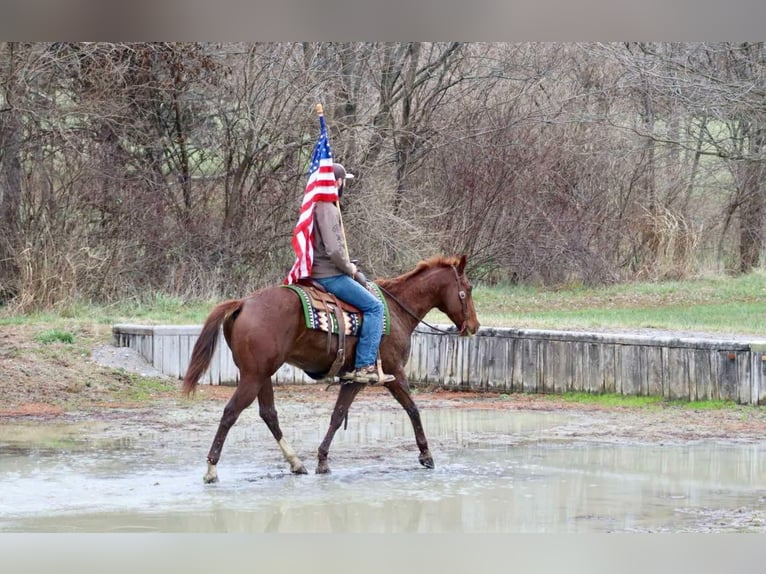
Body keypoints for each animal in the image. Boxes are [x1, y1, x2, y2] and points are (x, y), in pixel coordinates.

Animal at [181, 254, 480, 483]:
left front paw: (322, 460)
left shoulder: (354, 380)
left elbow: (337, 415)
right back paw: (211, 469)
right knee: (231, 413)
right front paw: (426, 455)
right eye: (468, 288)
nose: (475, 326)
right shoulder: (393, 372)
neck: (396, 311)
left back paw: (296, 462)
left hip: (261, 375)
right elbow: (412, 409)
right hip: (253, 376)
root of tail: (243, 303)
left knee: (269, 414)